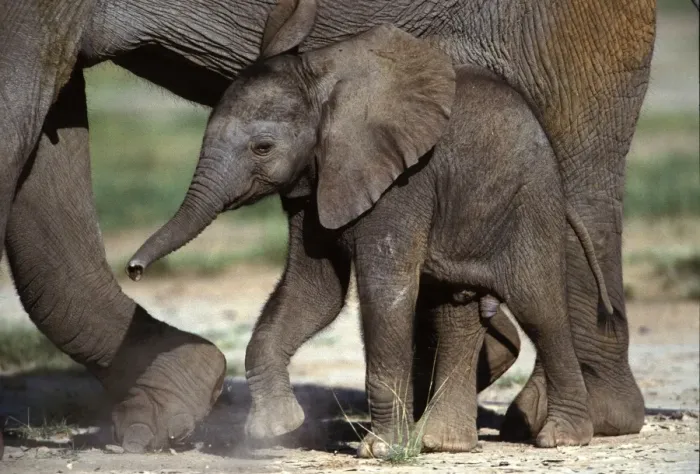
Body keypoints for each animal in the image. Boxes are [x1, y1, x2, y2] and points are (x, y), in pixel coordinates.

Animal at [0, 0, 661, 453]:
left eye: (263, 147)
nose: (135, 268)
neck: (330, 86)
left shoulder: (400, 182)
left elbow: (384, 291)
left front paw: (380, 449)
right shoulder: (320, 181)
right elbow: (312, 292)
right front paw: (274, 431)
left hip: (541, 154)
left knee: (539, 297)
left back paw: (560, 433)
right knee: (456, 305)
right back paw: (448, 441)